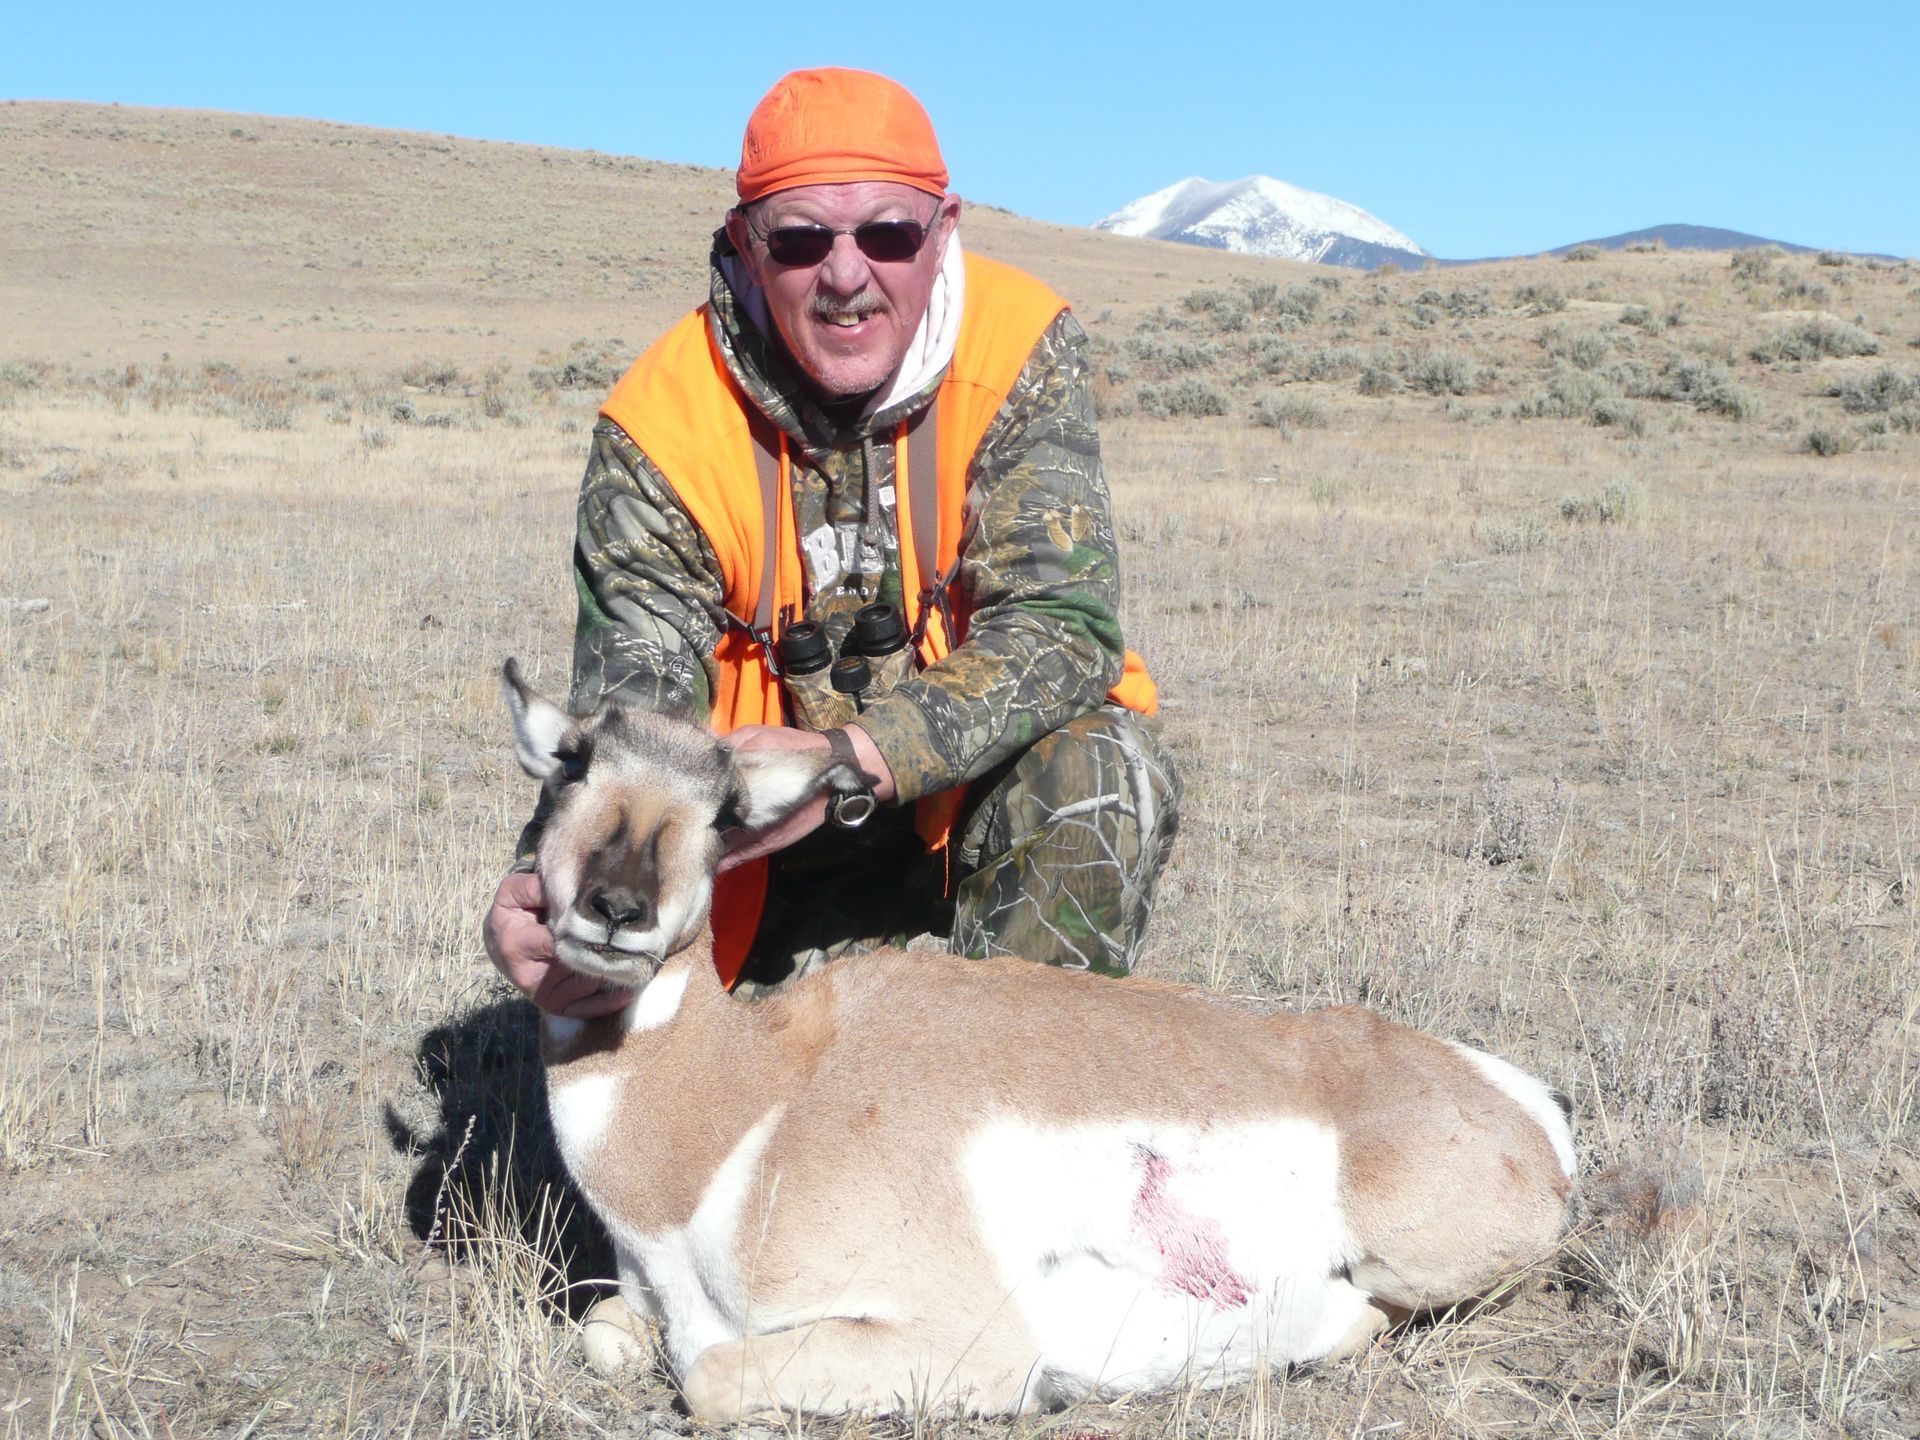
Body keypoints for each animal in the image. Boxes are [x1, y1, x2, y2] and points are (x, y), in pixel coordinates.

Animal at [499, 660, 1576, 1420]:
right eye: (571, 763)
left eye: (725, 813)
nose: (617, 908)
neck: (749, 1101)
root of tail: (1526, 1106)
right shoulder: (637, 1303)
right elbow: (605, 1333)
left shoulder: (960, 1341)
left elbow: (711, 1376)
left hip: (1411, 1261)